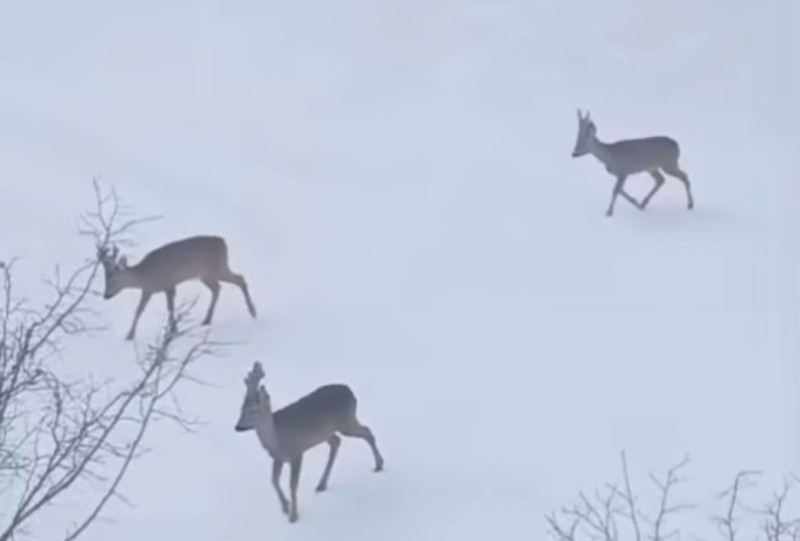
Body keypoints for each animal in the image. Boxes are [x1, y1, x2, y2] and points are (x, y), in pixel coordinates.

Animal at [94, 234, 256, 340]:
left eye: (114, 279)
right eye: (105, 279)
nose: (106, 295)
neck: (146, 275)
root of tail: (223, 242)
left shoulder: (169, 283)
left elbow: (169, 308)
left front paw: (172, 330)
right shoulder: (148, 290)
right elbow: (140, 310)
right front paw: (130, 335)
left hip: (218, 267)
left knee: (240, 279)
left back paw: (253, 311)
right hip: (205, 275)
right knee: (217, 288)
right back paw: (207, 320)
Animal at [234, 358, 384, 524]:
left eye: (253, 410)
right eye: (241, 409)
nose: (237, 427)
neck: (277, 438)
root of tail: (350, 390)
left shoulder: (297, 453)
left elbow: (292, 485)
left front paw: (293, 516)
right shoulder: (277, 457)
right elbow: (274, 481)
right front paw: (285, 506)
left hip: (346, 421)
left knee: (367, 432)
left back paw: (379, 465)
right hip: (328, 431)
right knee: (337, 441)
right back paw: (322, 484)